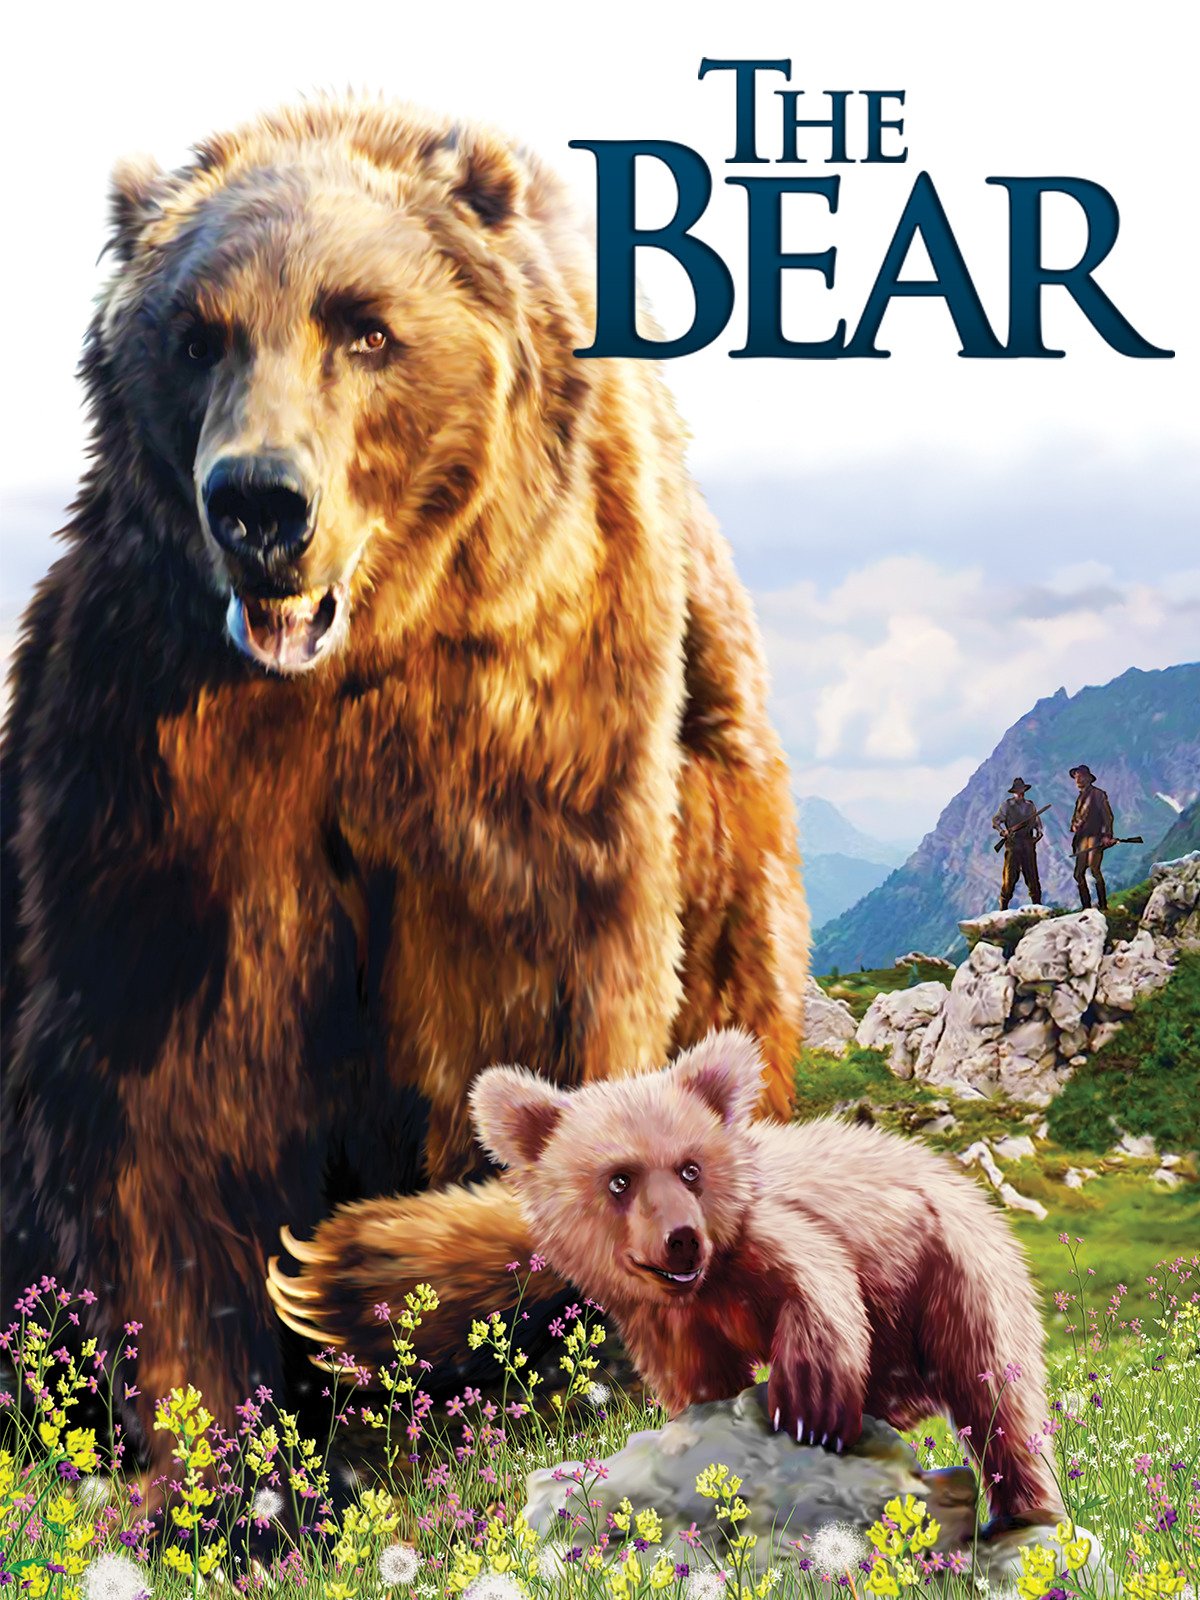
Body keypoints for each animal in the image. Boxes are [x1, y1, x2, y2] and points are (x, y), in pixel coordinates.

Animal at [0, 96, 809, 1481]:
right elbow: (152, 1114)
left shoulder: (545, 768)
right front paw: (223, 1462)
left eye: (365, 324)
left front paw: (348, 1271)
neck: (360, 671)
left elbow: (582, 1064)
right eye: (196, 334)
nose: (258, 503)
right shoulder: (154, 777)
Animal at [466, 1028, 1062, 1525]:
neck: (709, 1284)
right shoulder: (670, 1321)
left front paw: (805, 1413)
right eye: (620, 1179)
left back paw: (1027, 1511)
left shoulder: (775, 1238)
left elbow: (819, 1290)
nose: (682, 1238)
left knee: (1000, 1405)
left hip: (958, 1278)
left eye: (690, 1168)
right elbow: (699, 1380)